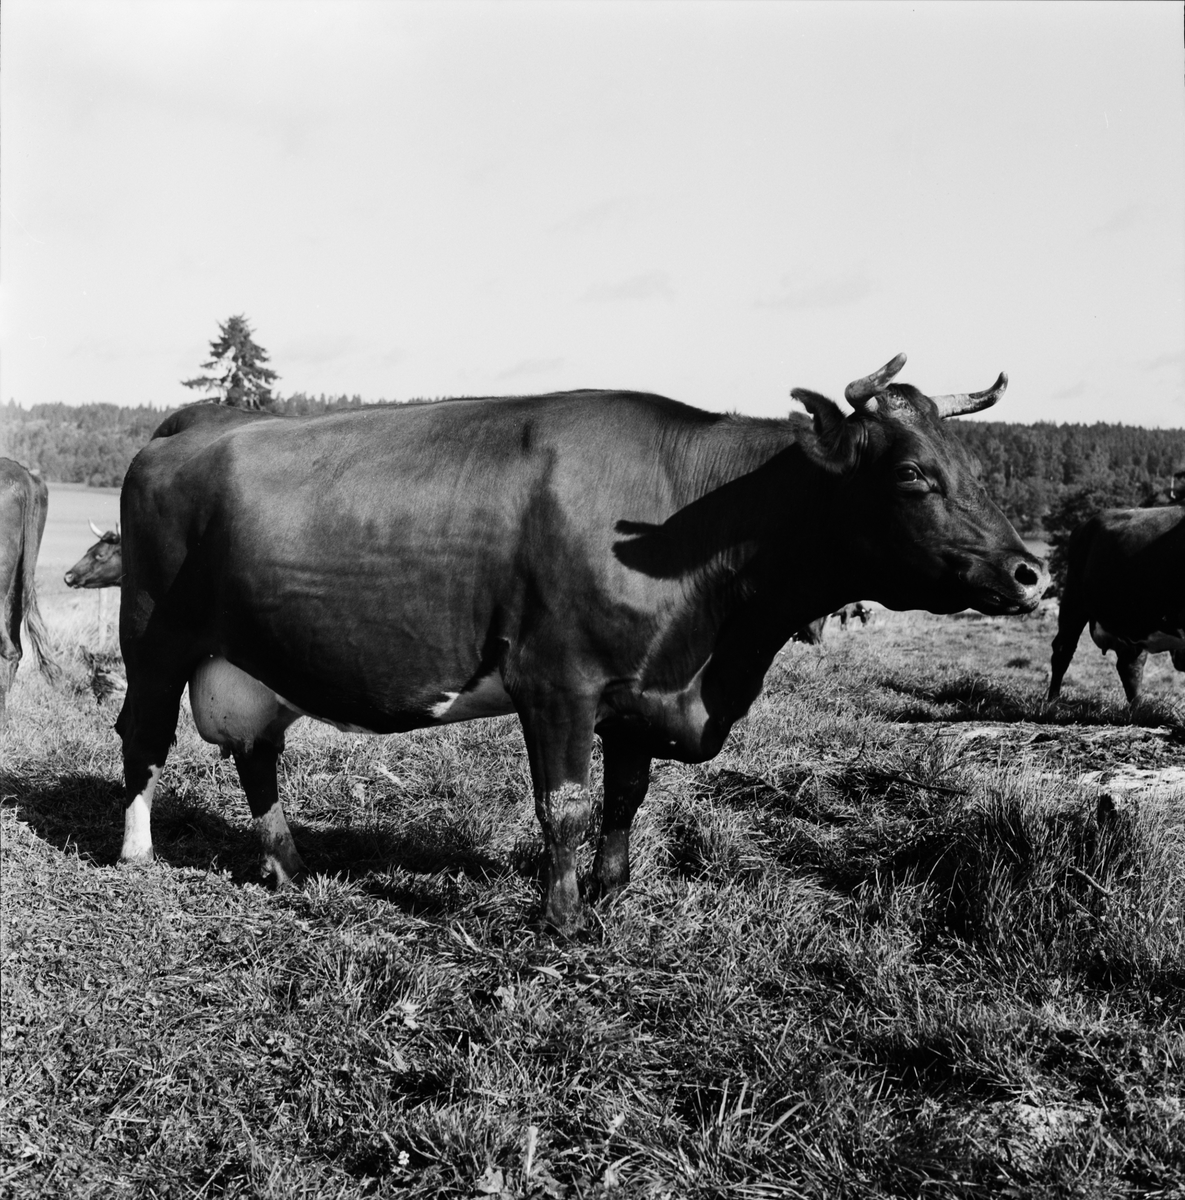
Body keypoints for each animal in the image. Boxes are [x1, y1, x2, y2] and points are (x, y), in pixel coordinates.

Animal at [118, 355, 1045, 926]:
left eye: (975, 467)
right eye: (912, 474)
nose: (1031, 573)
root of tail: (197, 420)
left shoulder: (641, 690)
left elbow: (625, 796)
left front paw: (610, 894)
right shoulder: (555, 680)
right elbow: (562, 803)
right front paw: (560, 918)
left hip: (253, 659)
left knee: (256, 756)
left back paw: (287, 865)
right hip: (154, 637)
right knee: (142, 739)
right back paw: (136, 854)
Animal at [1045, 504, 1185, 700]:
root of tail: (1086, 523)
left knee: (1131, 666)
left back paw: (1139, 706)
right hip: (1074, 601)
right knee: (1063, 650)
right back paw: (1053, 701)